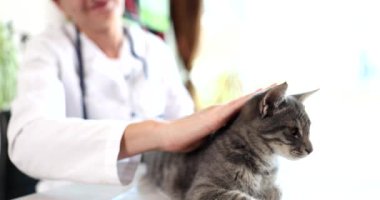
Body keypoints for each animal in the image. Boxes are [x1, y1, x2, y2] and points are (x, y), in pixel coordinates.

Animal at [142, 82, 314, 199]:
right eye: (294, 131)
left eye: (309, 129)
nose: (311, 150)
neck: (266, 165)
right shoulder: (202, 189)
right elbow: (242, 196)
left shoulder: (273, 186)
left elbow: (275, 191)